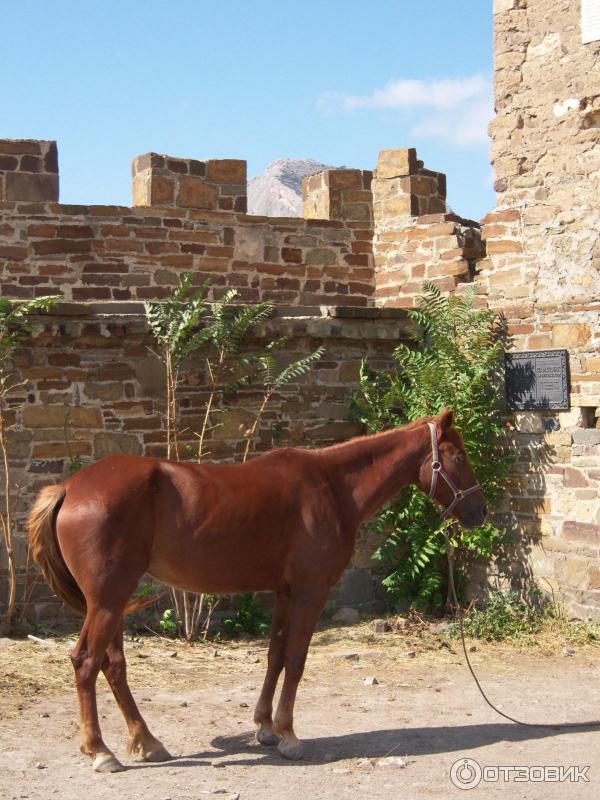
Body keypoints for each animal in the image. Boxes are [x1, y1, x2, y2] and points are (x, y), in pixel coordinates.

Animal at [30, 410, 486, 772]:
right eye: (458, 457)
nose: (479, 511)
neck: (331, 486)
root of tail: (69, 488)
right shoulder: (310, 592)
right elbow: (297, 660)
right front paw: (288, 735)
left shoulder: (284, 593)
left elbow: (275, 656)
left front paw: (266, 727)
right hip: (107, 602)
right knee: (87, 663)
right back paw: (100, 752)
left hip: (112, 602)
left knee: (114, 667)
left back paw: (147, 742)